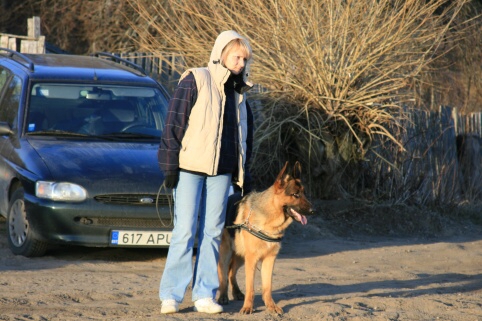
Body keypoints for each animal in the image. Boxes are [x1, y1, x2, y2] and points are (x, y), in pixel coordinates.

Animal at [217, 160, 314, 312]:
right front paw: (248, 307)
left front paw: (271, 306)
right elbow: (250, 287)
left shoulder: (269, 260)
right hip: (227, 254)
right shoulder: (252, 260)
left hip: (241, 257)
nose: (313, 210)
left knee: (232, 272)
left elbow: (267, 287)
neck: (270, 221)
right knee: (223, 272)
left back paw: (237, 292)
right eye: (295, 195)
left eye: (304, 194)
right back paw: (223, 296)